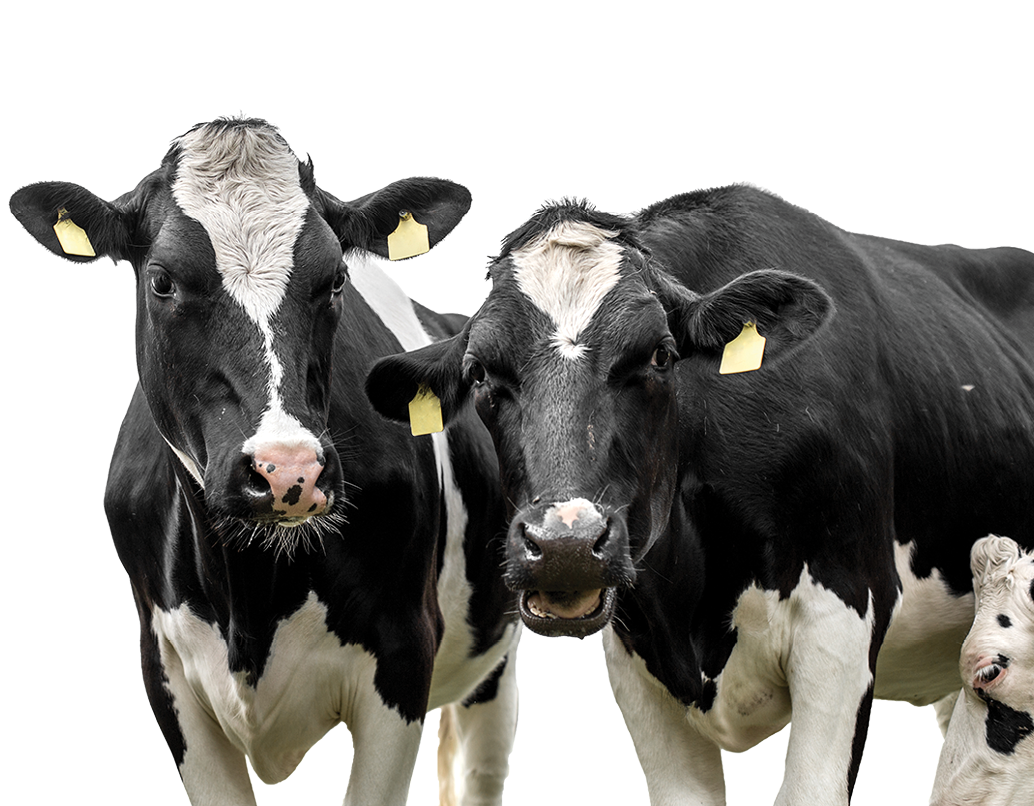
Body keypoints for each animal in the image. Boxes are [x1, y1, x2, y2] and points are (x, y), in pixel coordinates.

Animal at [9, 117, 519, 806]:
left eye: (336, 279)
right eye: (162, 280)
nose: (288, 470)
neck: (250, 594)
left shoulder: (404, 652)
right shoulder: (163, 669)